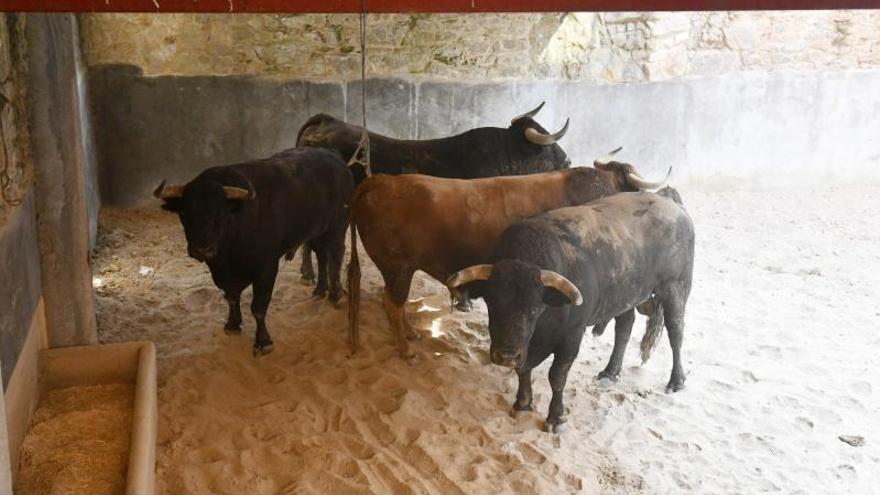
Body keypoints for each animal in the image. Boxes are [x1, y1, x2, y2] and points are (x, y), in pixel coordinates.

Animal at [348, 148, 672, 356]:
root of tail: (381, 180)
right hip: (397, 268)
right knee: (392, 304)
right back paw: (404, 349)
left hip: (400, 270)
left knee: (395, 304)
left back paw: (410, 335)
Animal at [454, 190, 696, 434]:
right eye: (491, 303)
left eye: (535, 308)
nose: (506, 356)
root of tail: (673, 204)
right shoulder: (526, 346)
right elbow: (523, 369)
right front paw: (523, 403)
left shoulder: (571, 337)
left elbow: (557, 377)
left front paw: (556, 417)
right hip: (625, 296)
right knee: (624, 328)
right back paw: (610, 372)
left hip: (676, 287)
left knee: (676, 331)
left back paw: (676, 381)